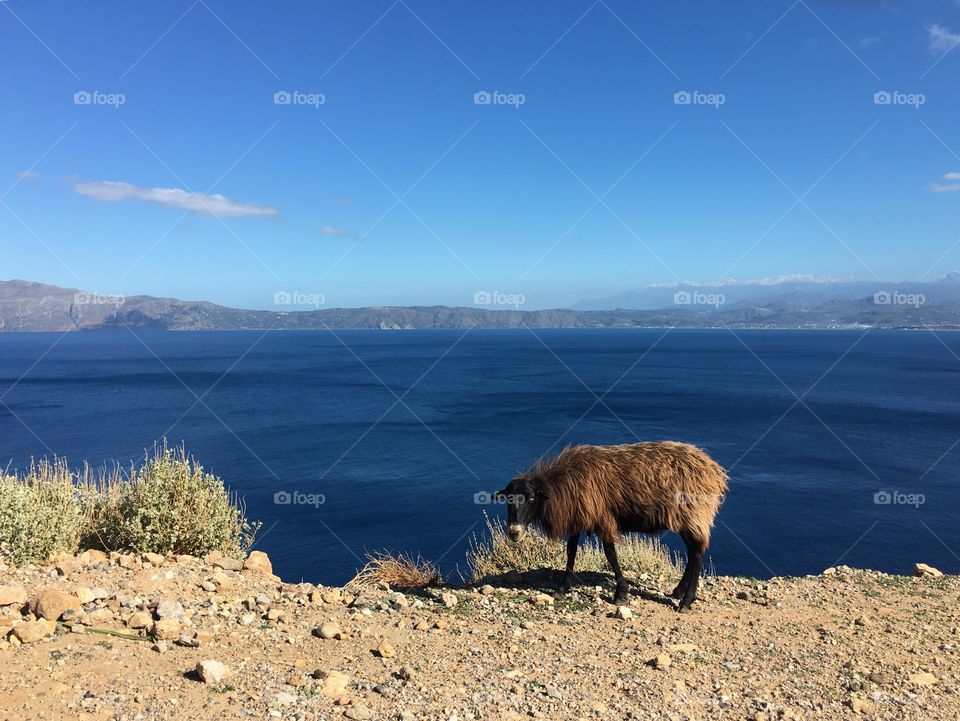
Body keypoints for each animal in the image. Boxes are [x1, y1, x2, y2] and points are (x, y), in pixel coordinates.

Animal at [495, 441, 728, 611]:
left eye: (531, 498)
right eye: (508, 500)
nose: (514, 532)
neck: (563, 485)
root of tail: (715, 470)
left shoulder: (604, 519)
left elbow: (610, 554)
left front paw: (621, 594)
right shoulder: (579, 518)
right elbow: (571, 551)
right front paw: (562, 588)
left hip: (693, 514)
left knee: (696, 553)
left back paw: (686, 601)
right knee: (692, 552)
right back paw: (678, 591)